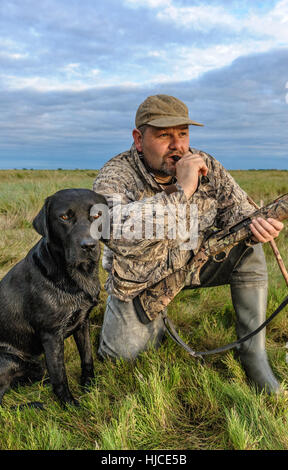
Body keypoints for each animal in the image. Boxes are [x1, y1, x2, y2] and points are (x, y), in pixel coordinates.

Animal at [0, 189, 107, 406]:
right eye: (64, 217)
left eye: (97, 215)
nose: (89, 246)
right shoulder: (51, 335)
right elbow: (60, 376)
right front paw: (70, 405)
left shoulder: (83, 322)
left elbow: (87, 358)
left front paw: (89, 385)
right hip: (7, 359)